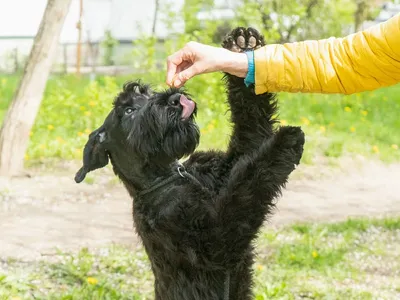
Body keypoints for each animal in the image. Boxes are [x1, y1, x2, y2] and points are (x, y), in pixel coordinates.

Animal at [74, 27, 304, 298]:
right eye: (128, 111)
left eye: (147, 93)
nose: (174, 98)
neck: (168, 175)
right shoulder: (213, 241)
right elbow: (245, 189)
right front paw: (285, 140)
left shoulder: (229, 163)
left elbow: (251, 128)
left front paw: (243, 46)